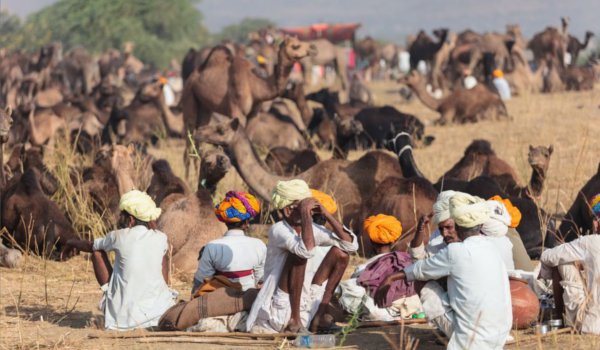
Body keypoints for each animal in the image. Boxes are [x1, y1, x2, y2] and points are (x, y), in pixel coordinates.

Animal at [180, 37, 316, 179]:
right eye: (295, 46)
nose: (313, 48)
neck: (255, 85)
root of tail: (193, 76)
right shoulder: (237, 111)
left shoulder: (254, 114)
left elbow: (248, 140)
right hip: (189, 96)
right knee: (188, 140)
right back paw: (187, 179)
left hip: (205, 108)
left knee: (198, 142)